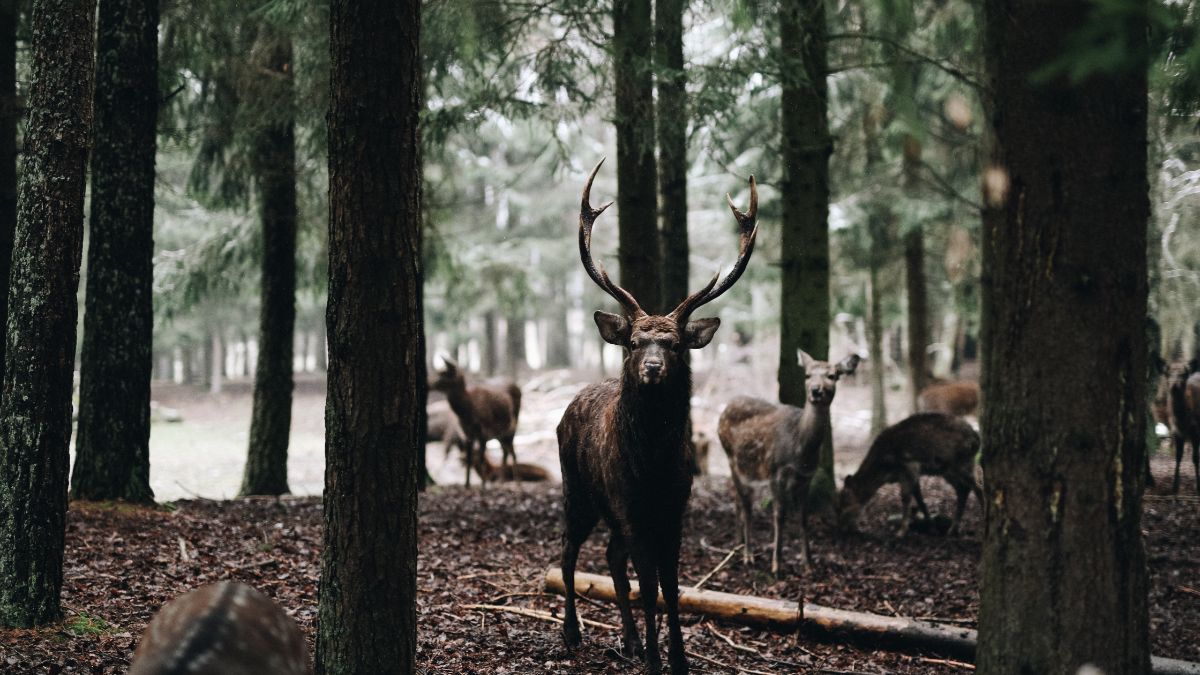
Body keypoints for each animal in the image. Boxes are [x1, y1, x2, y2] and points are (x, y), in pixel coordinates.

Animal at [554, 158, 758, 672]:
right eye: (634, 341)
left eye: (676, 344)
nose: (651, 367)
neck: (653, 467)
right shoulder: (631, 506)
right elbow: (648, 587)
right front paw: (654, 659)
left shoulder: (673, 509)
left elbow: (670, 586)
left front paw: (678, 659)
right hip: (577, 488)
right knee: (568, 550)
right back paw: (572, 632)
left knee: (611, 558)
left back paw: (626, 639)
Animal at [715, 345, 859, 571]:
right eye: (807, 375)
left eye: (832, 375)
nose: (815, 390)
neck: (801, 449)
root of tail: (726, 406)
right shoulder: (776, 471)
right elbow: (780, 515)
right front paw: (777, 565)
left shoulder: (807, 477)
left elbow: (803, 517)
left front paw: (808, 564)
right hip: (730, 456)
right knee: (746, 505)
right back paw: (748, 555)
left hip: (748, 467)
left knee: (738, 498)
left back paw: (739, 544)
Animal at [840, 410, 979, 535]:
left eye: (846, 501)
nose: (841, 527)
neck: (885, 470)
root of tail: (977, 439)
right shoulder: (911, 474)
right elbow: (919, 499)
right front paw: (931, 528)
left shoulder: (909, 465)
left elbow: (905, 497)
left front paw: (901, 531)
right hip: (947, 470)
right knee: (963, 489)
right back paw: (952, 529)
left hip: (961, 463)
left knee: (977, 487)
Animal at [1161, 357, 1200, 494]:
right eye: (1167, 373)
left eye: (1183, 374)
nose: (1174, 385)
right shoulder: (1176, 432)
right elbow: (1178, 457)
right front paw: (1174, 487)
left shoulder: (1195, 430)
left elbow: (1195, 458)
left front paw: (1197, 487)